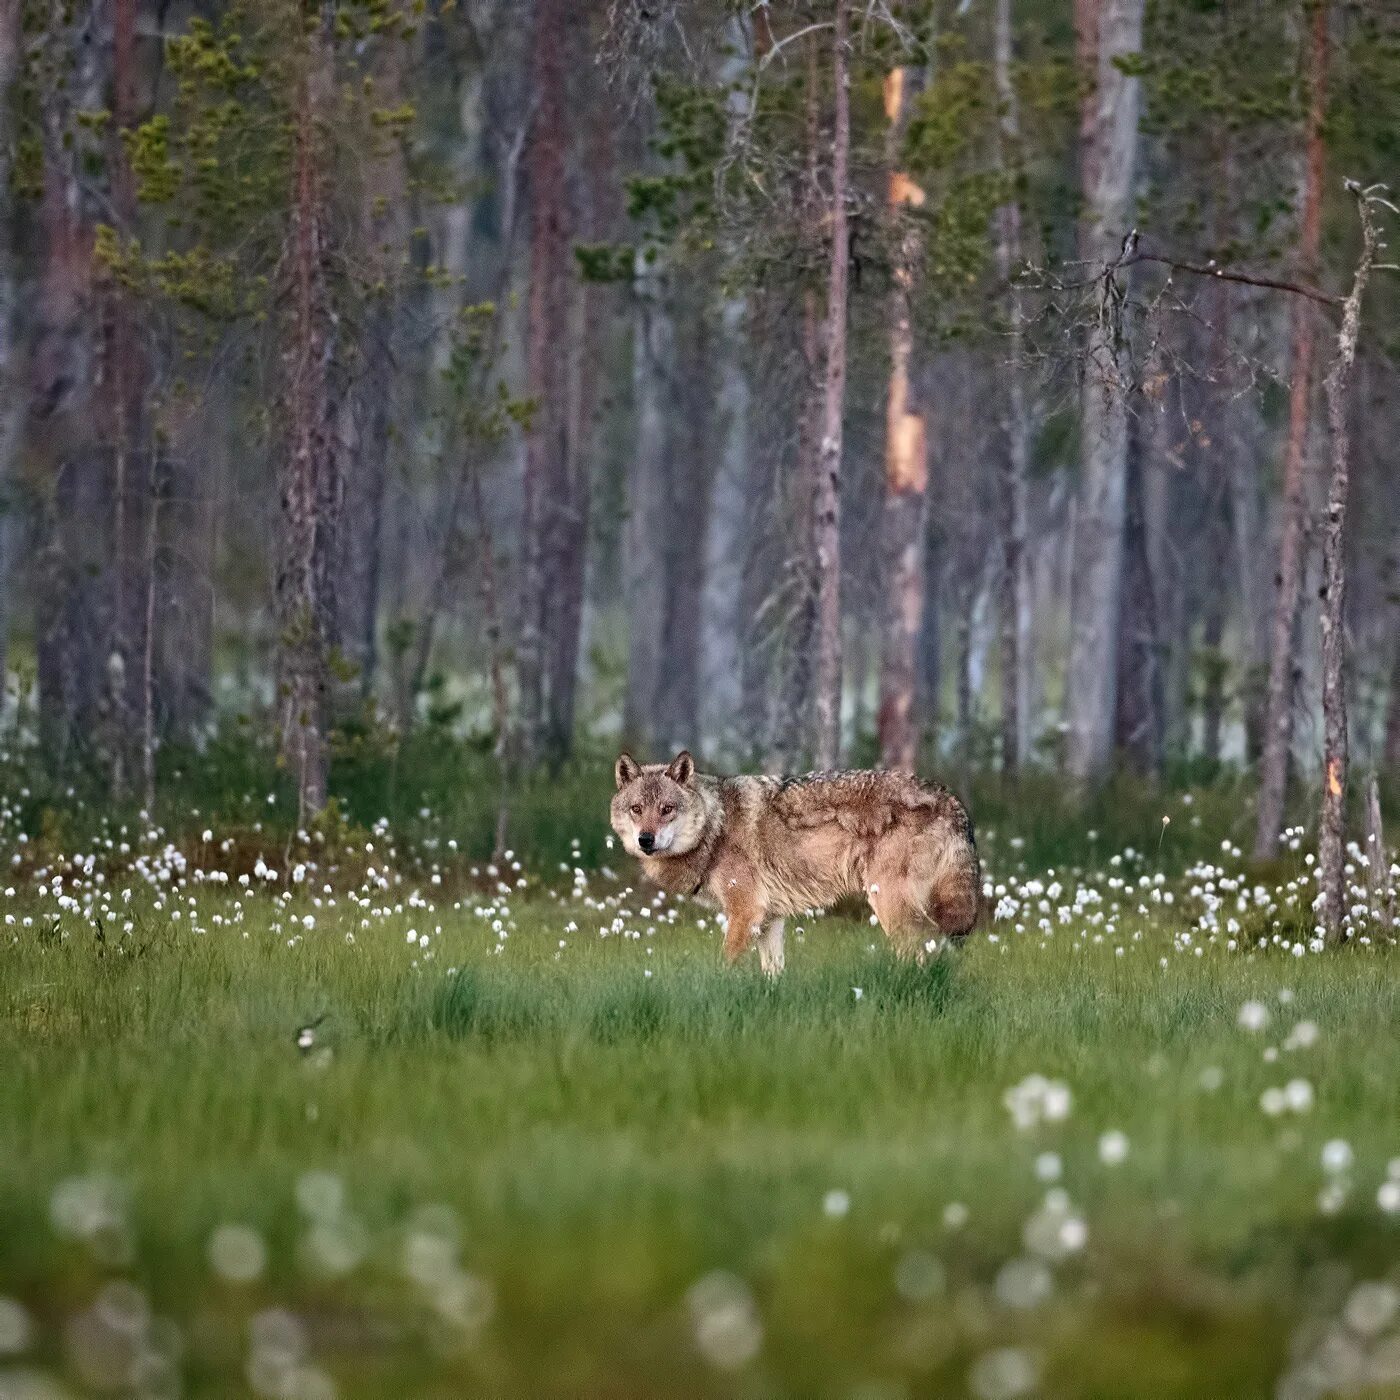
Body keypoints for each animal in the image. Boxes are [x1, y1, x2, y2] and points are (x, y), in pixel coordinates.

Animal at [607, 756, 980, 974]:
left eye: (667, 809)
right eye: (637, 809)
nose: (645, 840)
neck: (715, 826)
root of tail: (951, 798)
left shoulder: (745, 912)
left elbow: (725, 966)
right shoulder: (769, 919)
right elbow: (773, 974)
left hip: (889, 904)